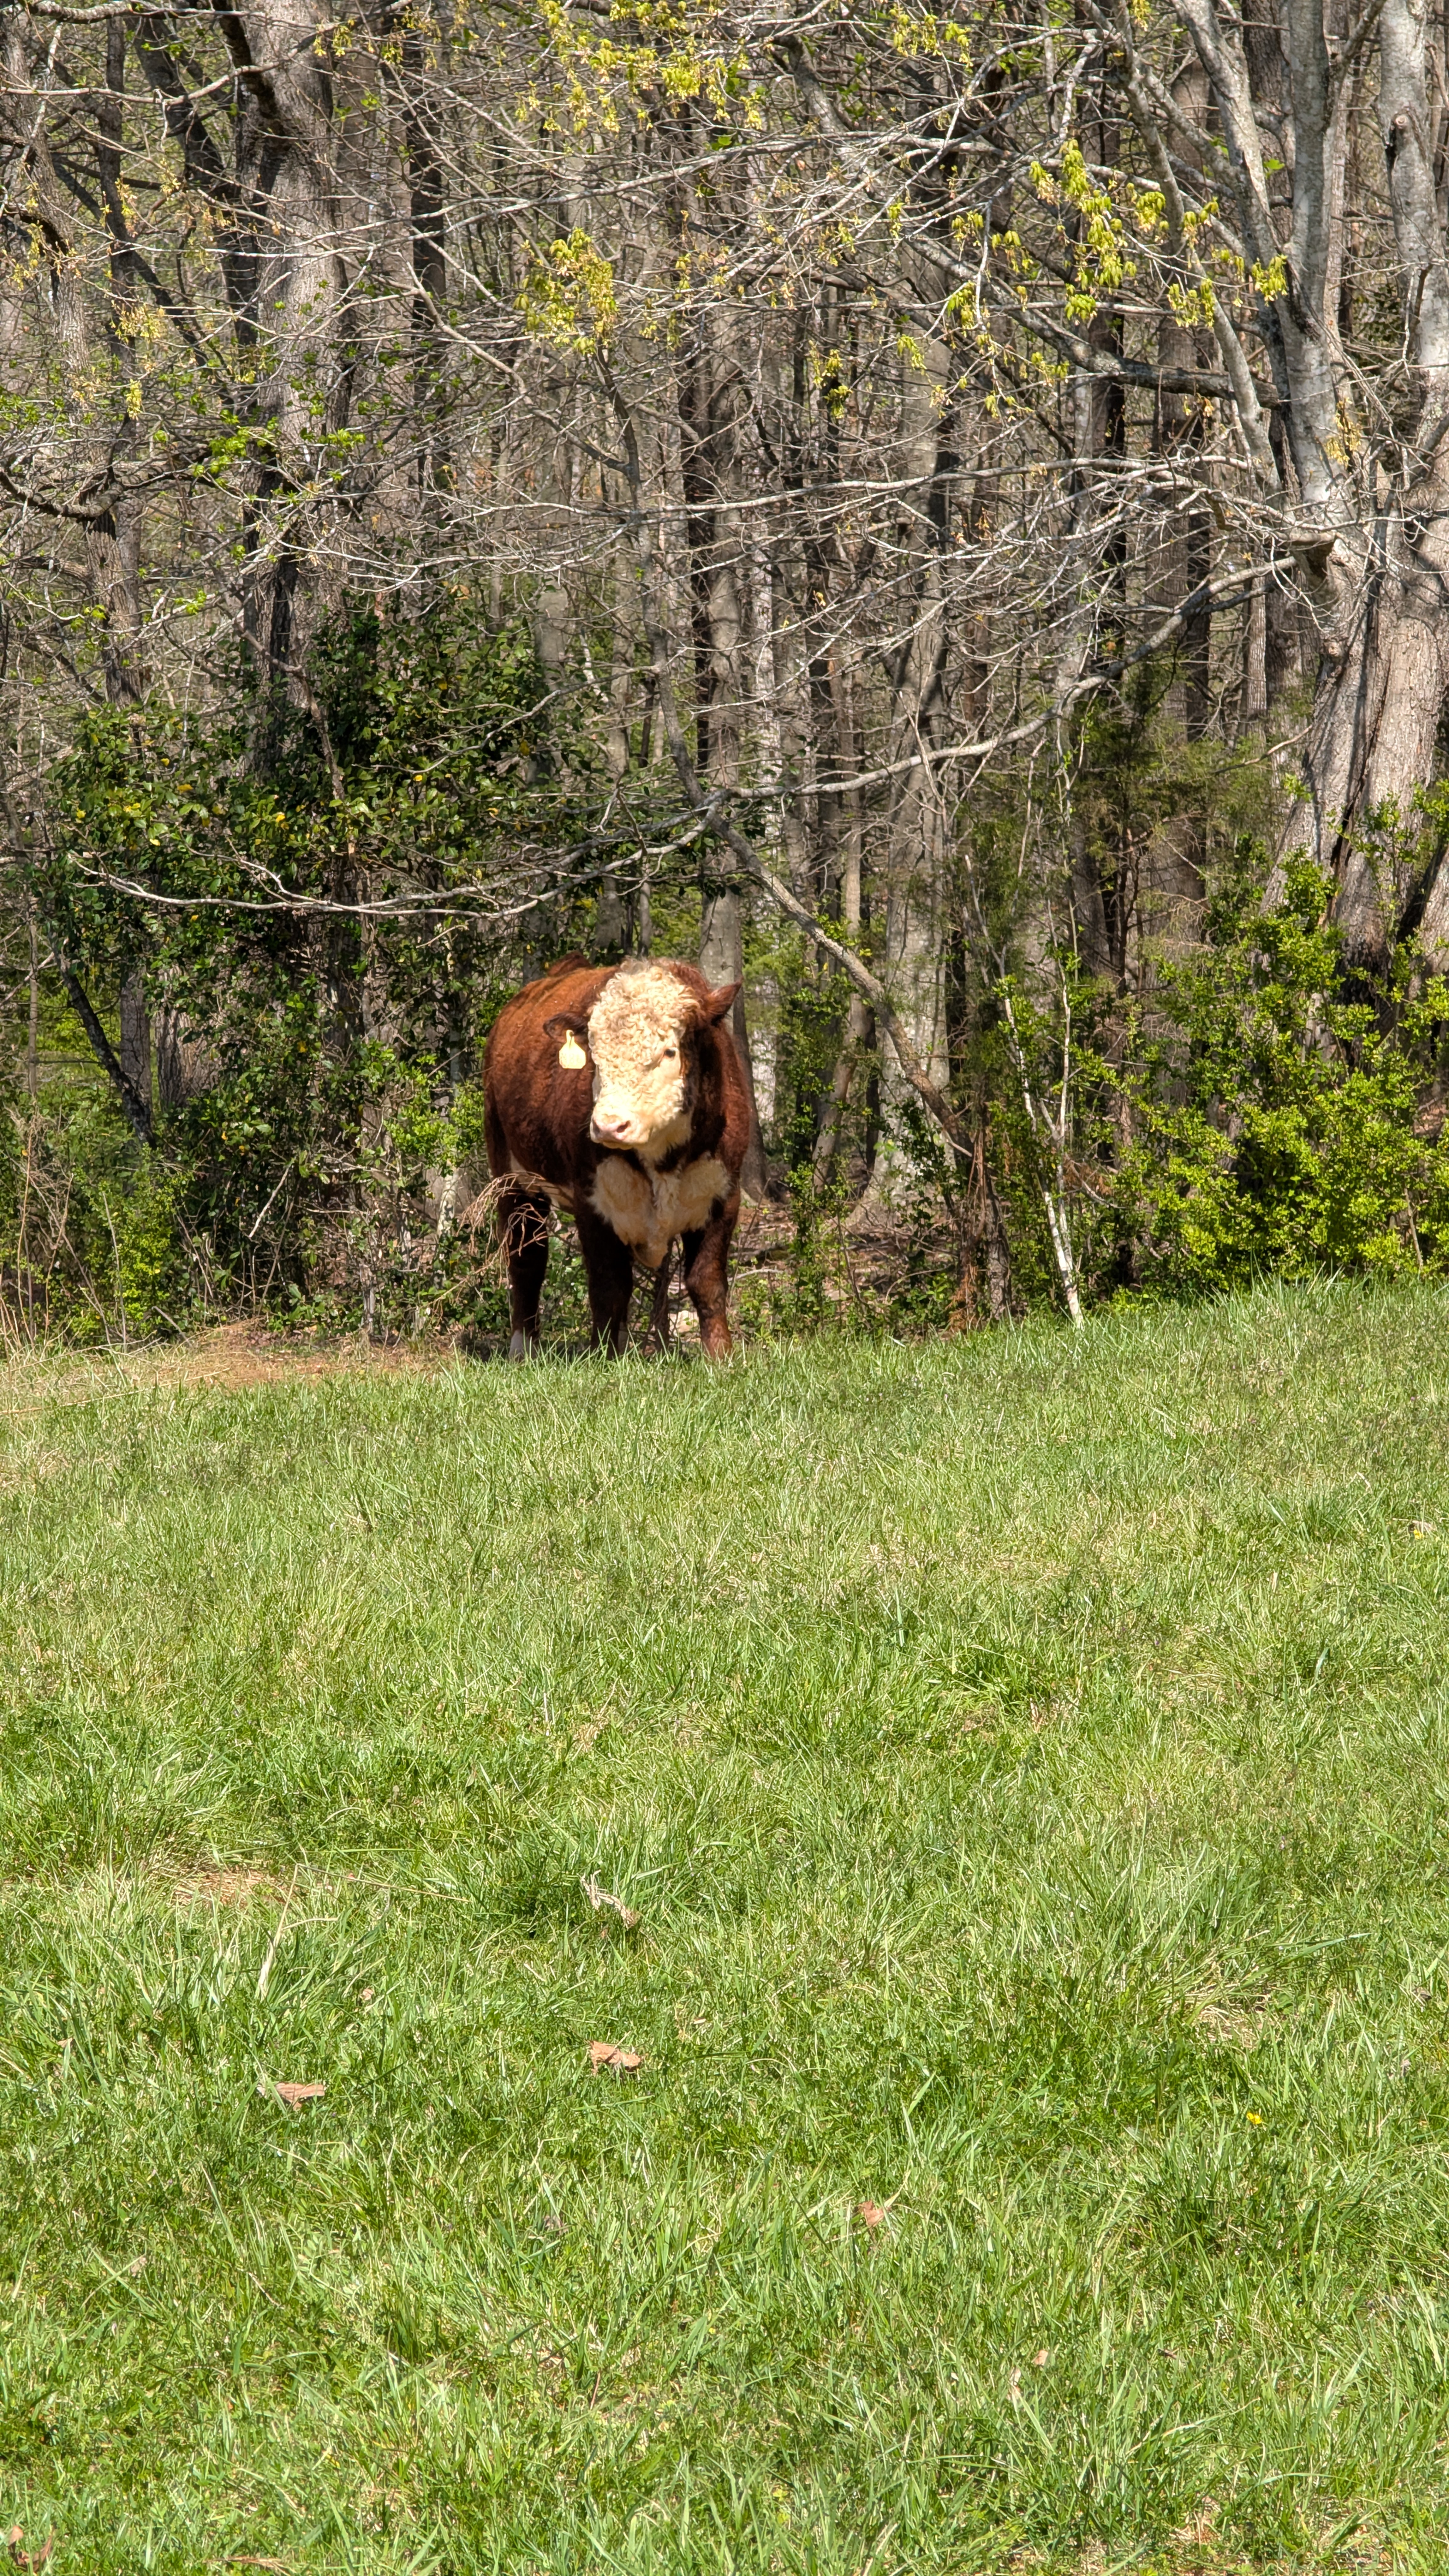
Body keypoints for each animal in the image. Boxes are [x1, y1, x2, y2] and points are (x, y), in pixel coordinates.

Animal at [483, 953, 751, 1359]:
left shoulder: (724, 1195)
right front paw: (605, 1358)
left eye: (669, 1051)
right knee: (527, 1260)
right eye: (594, 1054)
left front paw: (721, 1356)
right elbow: (609, 1286)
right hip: (513, 1179)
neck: (662, 1162)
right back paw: (523, 1348)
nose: (610, 1125)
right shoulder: (594, 1202)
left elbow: (706, 1283)